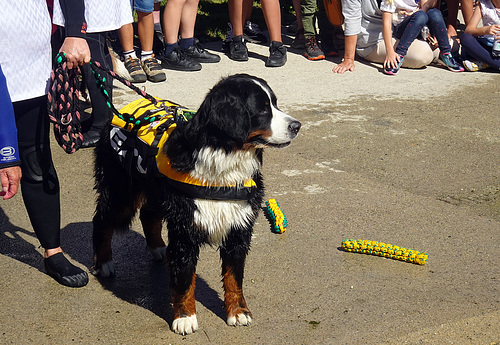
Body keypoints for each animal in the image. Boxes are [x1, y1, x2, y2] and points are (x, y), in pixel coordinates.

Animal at [90, 72, 300, 334]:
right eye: (262, 109)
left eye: (275, 104)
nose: (297, 126)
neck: (224, 161)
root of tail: (120, 113)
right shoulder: (185, 230)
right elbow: (184, 279)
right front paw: (185, 317)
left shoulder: (238, 228)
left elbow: (234, 278)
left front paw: (237, 311)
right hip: (121, 193)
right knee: (101, 221)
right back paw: (104, 262)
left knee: (149, 215)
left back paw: (158, 248)